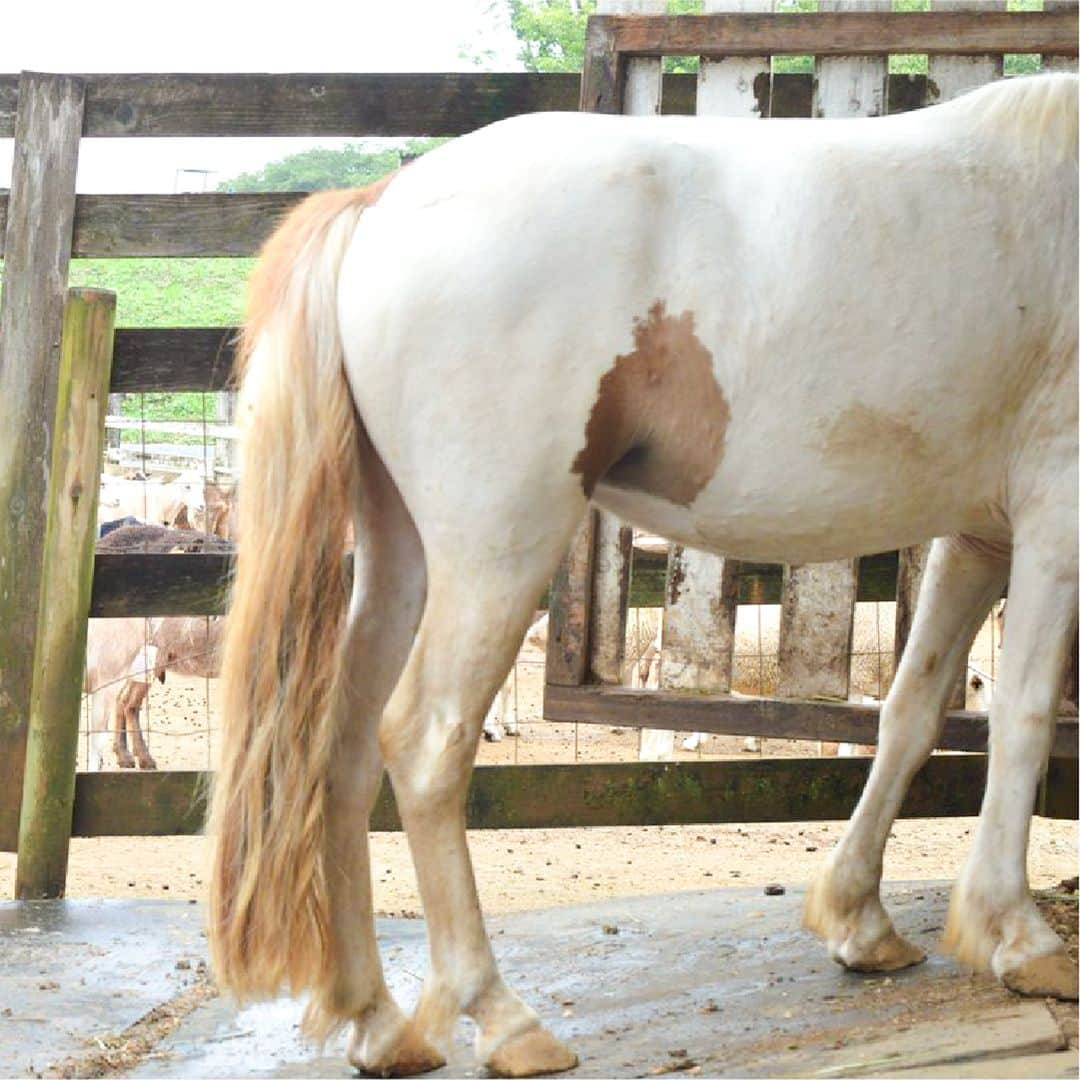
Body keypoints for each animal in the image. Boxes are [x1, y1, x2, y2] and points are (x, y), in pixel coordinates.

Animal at [206, 78, 1075, 1080]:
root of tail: (382, 203)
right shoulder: (1056, 520)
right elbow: (1023, 720)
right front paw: (1022, 940)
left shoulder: (980, 536)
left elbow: (913, 713)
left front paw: (861, 922)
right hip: (496, 552)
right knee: (424, 744)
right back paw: (502, 1018)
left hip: (405, 558)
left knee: (344, 747)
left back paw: (378, 1021)